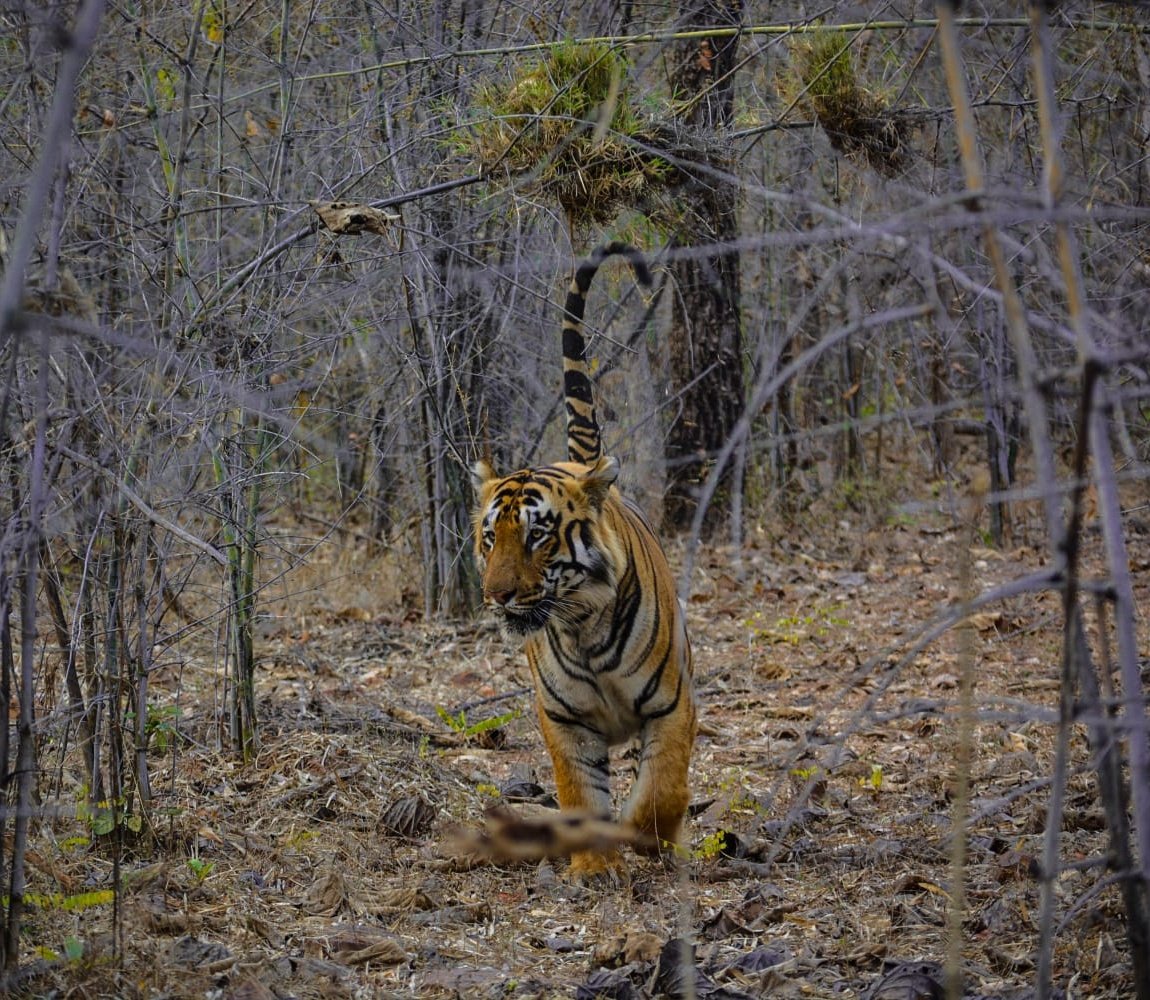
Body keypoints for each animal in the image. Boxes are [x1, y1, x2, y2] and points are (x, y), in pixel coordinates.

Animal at [471, 242, 696, 879]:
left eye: (537, 536)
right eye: (490, 538)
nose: (497, 595)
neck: (580, 628)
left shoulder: (672, 705)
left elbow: (661, 788)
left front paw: (645, 838)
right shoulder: (564, 721)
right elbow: (580, 794)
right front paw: (593, 865)